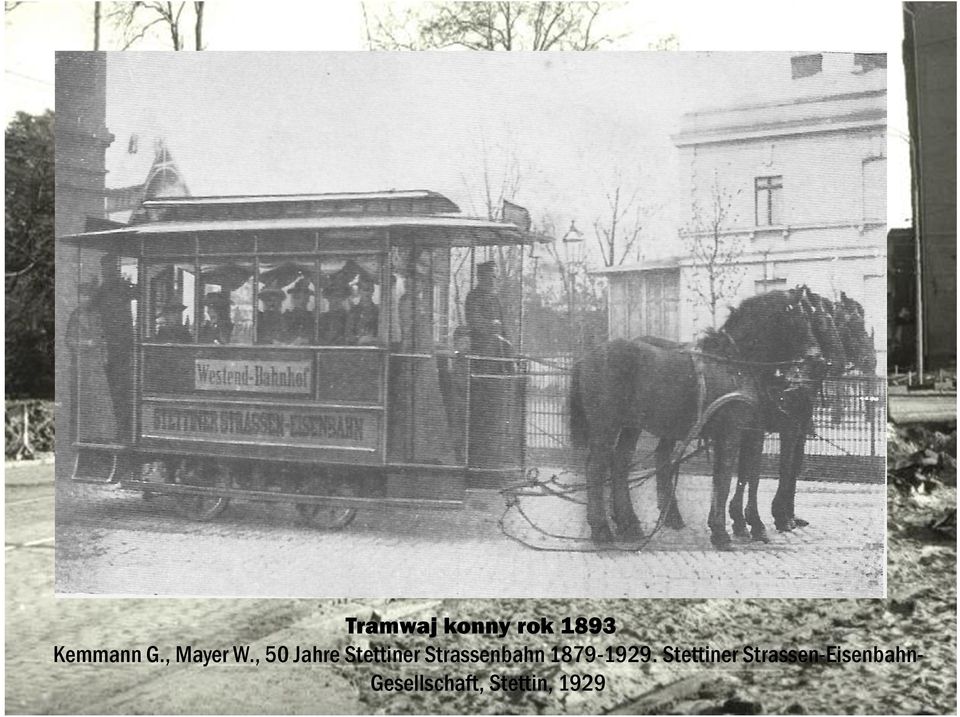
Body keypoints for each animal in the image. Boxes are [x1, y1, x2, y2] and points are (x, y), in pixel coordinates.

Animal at [568, 290, 824, 548]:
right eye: (799, 318)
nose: (817, 358)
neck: (735, 363)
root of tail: (585, 358)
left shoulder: (747, 432)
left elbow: (736, 478)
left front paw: (738, 527)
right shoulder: (732, 432)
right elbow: (725, 478)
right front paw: (723, 532)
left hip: (631, 426)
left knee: (620, 463)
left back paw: (630, 526)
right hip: (606, 426)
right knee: (596, 467)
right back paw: (602, 530)